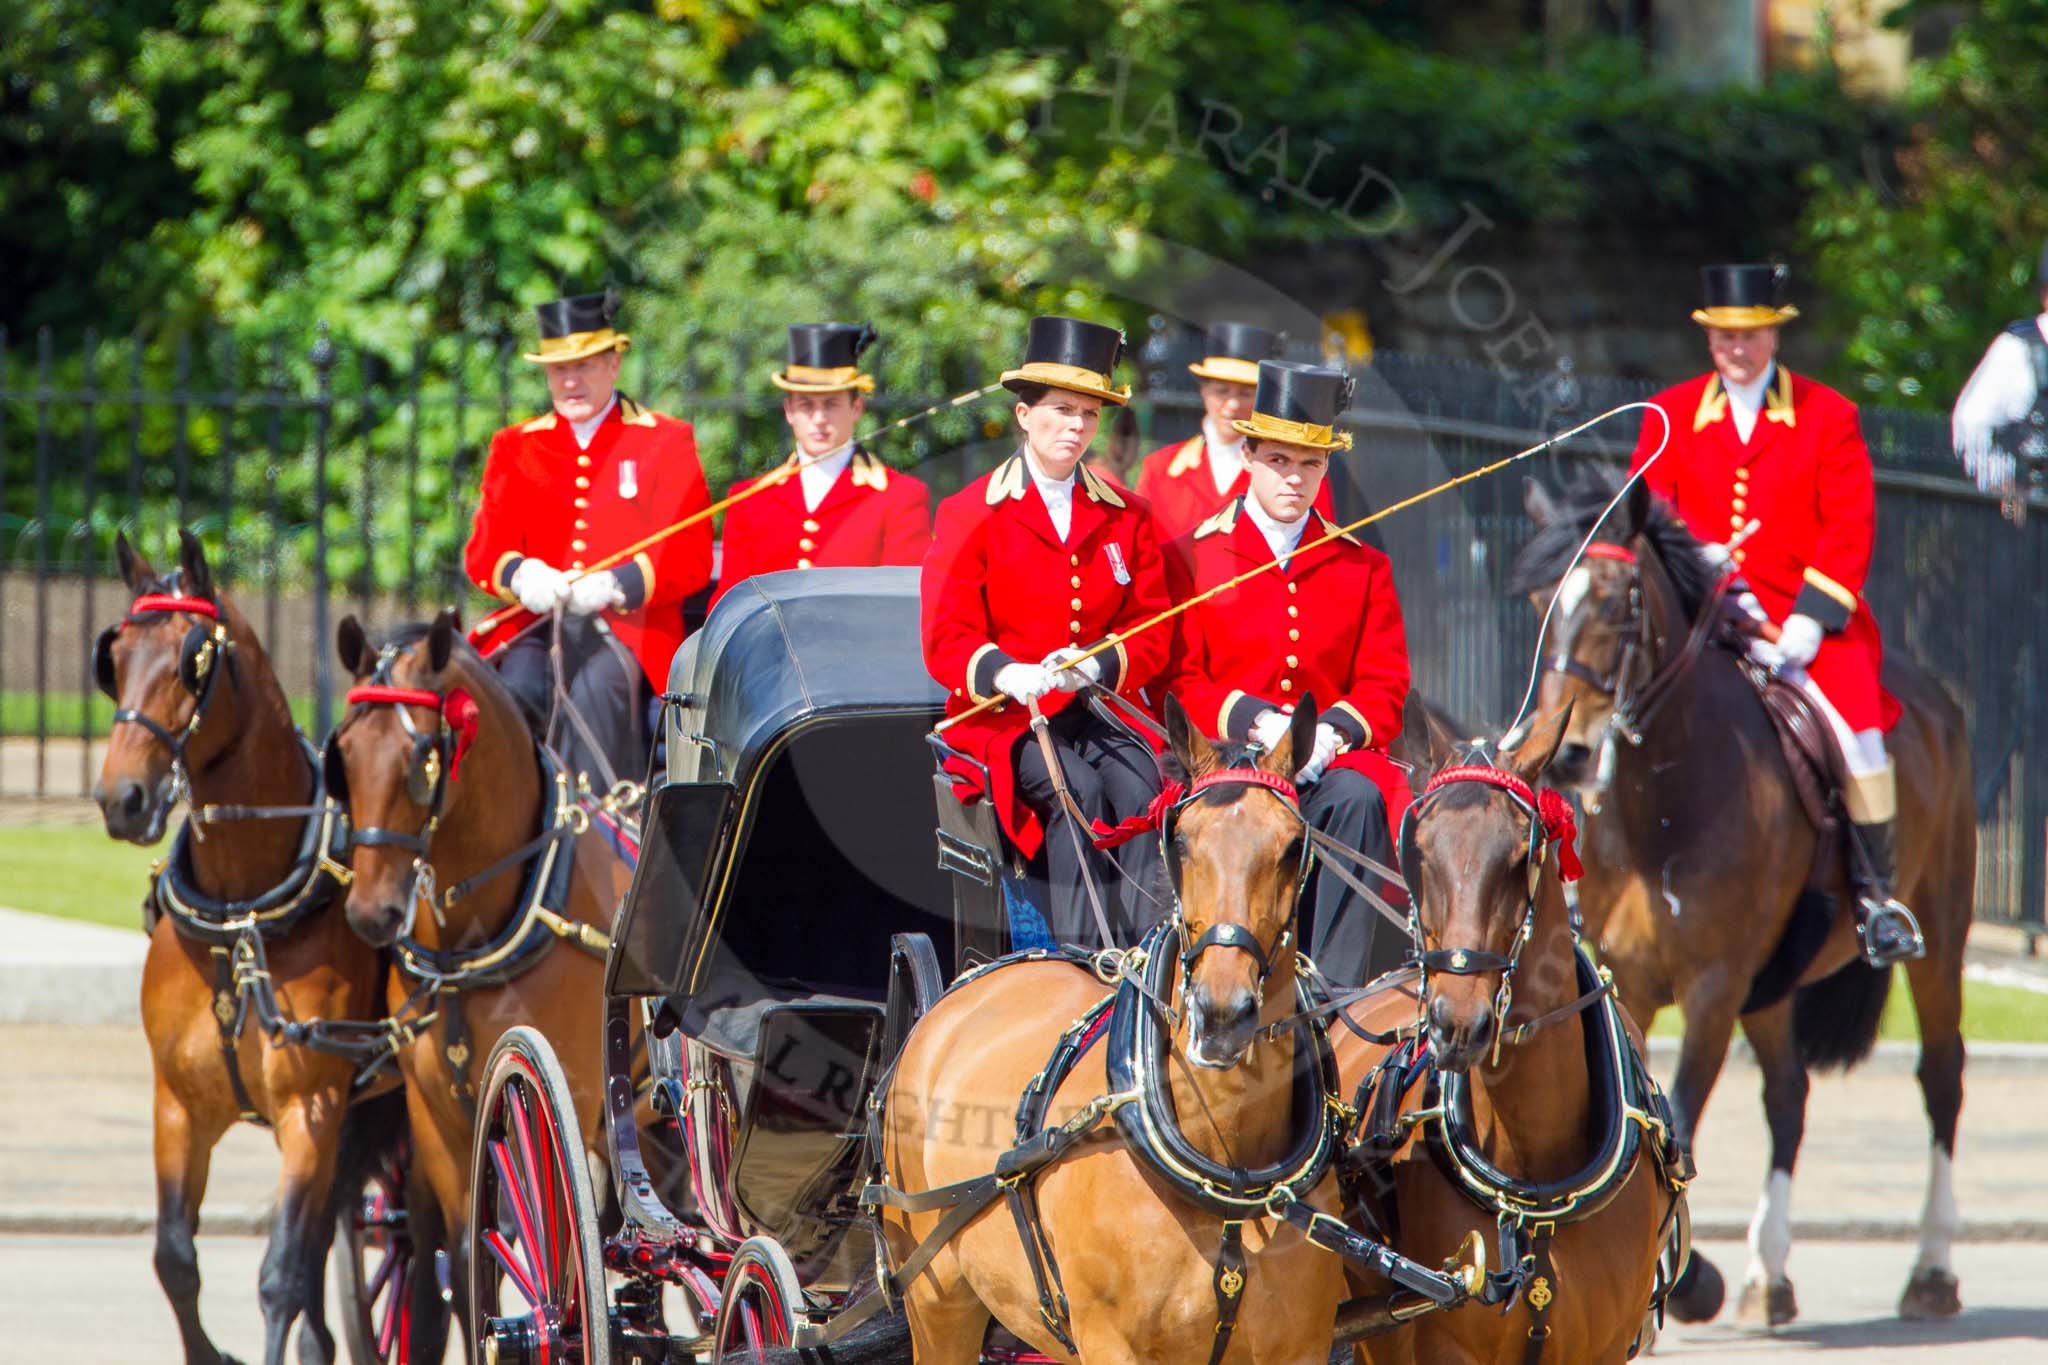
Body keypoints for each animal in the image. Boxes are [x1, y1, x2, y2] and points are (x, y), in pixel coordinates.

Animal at [94, 532, 401, 1365]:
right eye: (115, 656)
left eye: (192, 661)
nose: (121, 798)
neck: (243, 917)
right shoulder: (178, 1104)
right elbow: (175, 1258)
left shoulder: (312, 1108)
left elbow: (281, 1275)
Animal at [323, 613, 626, 1350]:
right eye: (343, 755)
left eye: (421, 760)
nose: (371, 914)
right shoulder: (437, 1117)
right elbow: (464, 1260)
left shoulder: (570, 1097)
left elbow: (567, 1251)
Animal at [872, 703, 1351, 1365]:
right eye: (1180, 841)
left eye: (1292, 846)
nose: (1221, 1015)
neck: (1226, 1172)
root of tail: (968, 984)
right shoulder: (1108, 1344)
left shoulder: (1303, 1345)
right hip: (936, 1300)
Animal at [1515, 478, 1974, 1326]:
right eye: (1540, 602)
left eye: (1622, 602)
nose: (1566, 752)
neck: (1662, 799)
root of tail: (1934, 697)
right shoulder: (1633, 979)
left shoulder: (1712, 987)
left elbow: (1680, 1121)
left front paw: (1688, 1277)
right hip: (1772, 983)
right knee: (1788, 1093)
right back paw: (1770, 1272)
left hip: (1939, 937)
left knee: (1942, 1078)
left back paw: (1931, 1266)